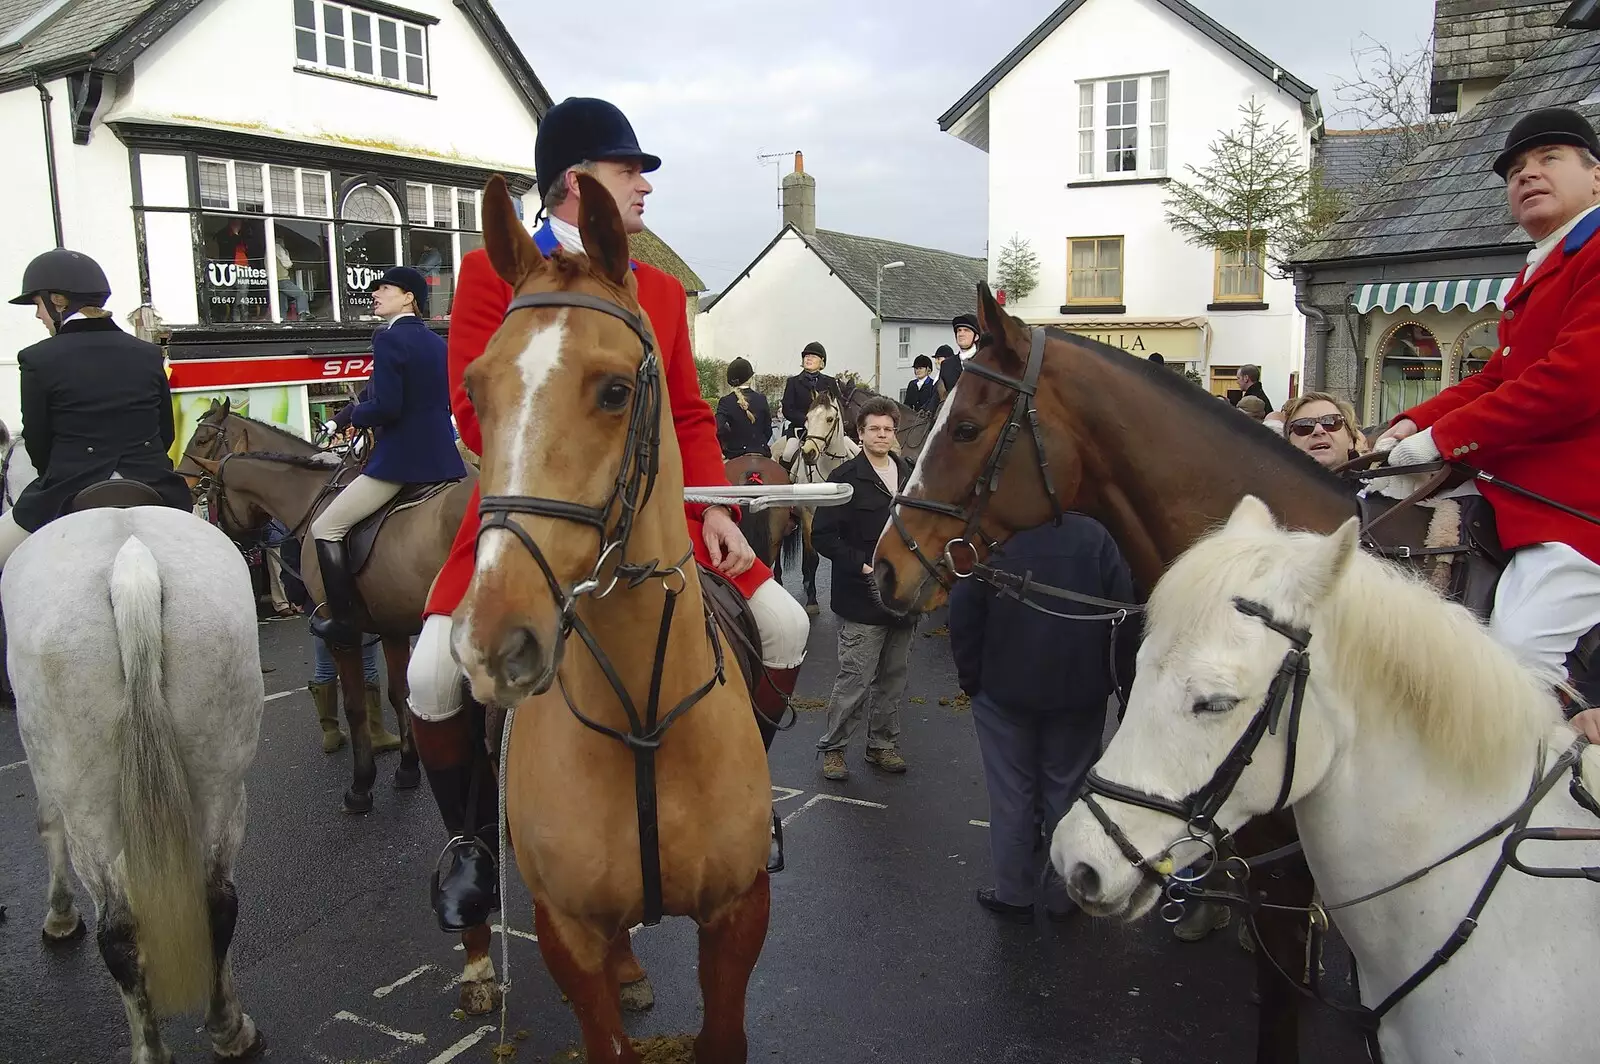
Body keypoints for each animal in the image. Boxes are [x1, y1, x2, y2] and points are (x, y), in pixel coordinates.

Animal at [7, 508, 264, 1062]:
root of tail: (132, 564)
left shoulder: (44, 770)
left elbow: (45, 824)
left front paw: (59, 914)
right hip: (223, 788)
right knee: (216, 905)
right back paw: (229, 1028)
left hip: (92, 814)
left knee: (120, 935)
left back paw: (153, 1049)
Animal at [451, 174, 774, 1062]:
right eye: (475, 390)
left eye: (615, 391)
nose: (495, 644)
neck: (645, 712)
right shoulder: (565, 931)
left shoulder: (740, 912)